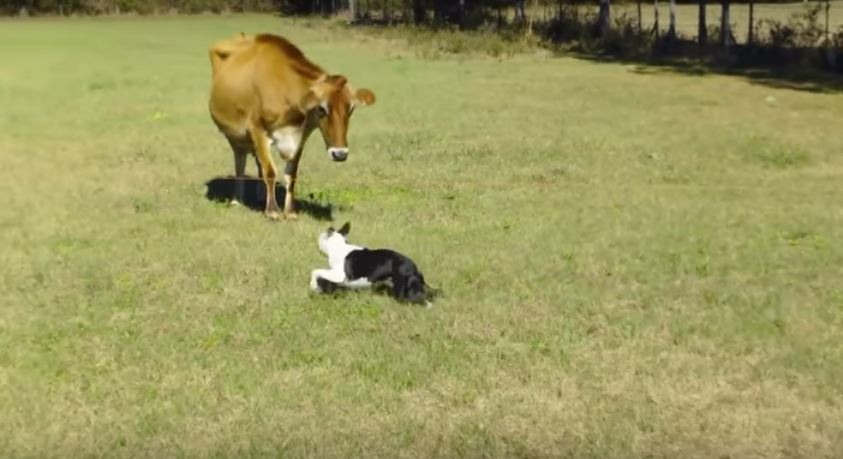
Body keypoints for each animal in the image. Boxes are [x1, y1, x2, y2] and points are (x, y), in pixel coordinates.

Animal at [208, 33, 376, 220]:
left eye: (351, 109)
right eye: (321, 108)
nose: (339, 154)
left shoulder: (301, 136)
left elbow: (291, 173)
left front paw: (289, 211)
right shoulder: (257, 130)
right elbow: (270, 171)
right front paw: (273, 211)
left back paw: (261, 198)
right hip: (235, 136)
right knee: (240, 163)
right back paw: (237, 200)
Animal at [312, 223, 442, 306]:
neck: (339, 245)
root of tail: (415, 269)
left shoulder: (339, 275)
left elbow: (315, 271)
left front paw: (313, 285)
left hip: (403, 290)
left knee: (419, 299)